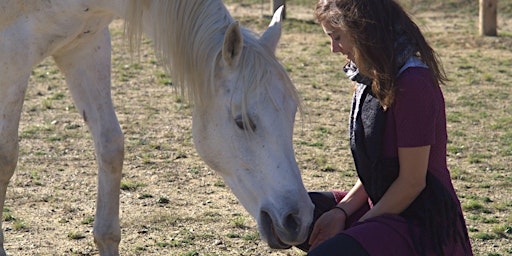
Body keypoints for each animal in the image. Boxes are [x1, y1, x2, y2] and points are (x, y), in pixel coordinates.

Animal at [0, 1, 312, 255]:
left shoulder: (86, 46)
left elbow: (111, 147)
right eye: (242, 121)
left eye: (291, 115)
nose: (299, 220)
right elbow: (6, 159)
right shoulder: (14, 56)